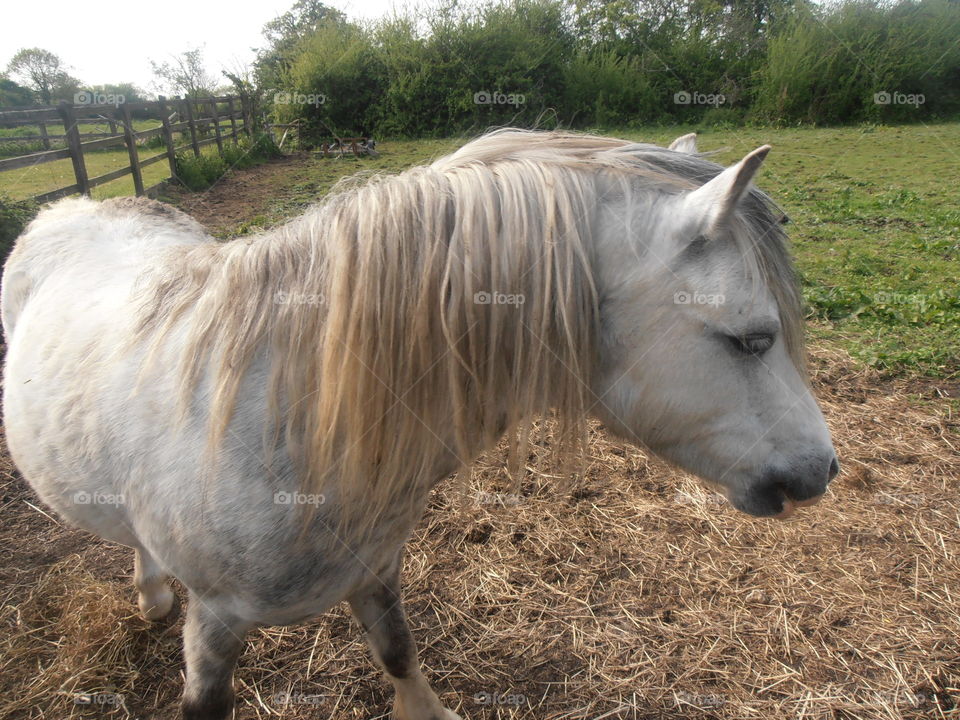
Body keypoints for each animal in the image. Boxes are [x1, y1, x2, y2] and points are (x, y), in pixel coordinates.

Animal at [1, 131, 832, 720]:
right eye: (751, 338)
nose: (823, 469)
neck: (286, 418)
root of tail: (70, 206)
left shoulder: (377, 568)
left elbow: (399, 652)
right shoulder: (216, 625)